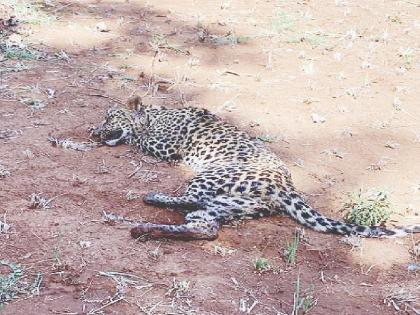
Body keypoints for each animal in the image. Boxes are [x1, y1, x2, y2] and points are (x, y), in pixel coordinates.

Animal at [91, 95, 420, 241]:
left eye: (110, 116)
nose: (95, 130)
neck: (156, 114)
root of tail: (286, 185)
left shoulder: (165, 144)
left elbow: (139, 138)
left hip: (211, 177)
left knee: (192, 201)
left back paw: (152, 200)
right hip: (233, 202)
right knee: (206, 227)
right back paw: (147, 227)